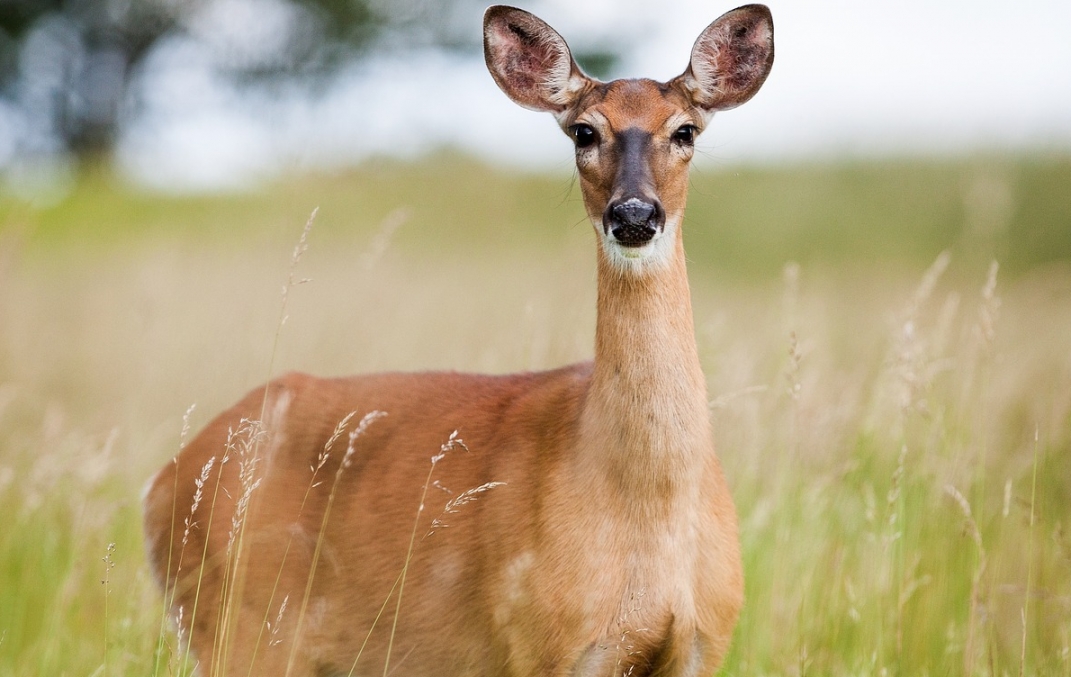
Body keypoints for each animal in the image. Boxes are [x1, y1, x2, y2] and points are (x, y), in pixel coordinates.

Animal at [146, 5, 775, 677]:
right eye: (583, 132)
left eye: (685, 131)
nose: (633, 215)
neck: (646, 508)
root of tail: (159, 487)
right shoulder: (541, 643)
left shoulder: (701, 644)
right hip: (237, 627)